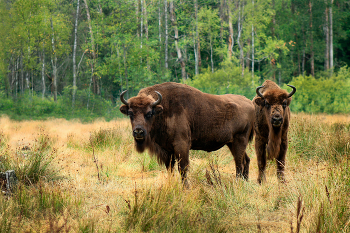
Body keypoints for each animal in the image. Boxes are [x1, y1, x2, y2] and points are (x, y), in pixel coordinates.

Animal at [120, 83, 254, 183]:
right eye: (130, 113)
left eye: (149, 113)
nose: (138, 132)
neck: (162, 110)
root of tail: (250, 103)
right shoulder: (167, 150)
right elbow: (170, 169)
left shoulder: (182, 146)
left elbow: (183, 168)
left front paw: (185, 188)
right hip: (232, 143)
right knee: (245, 160)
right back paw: (245, 182)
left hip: (239, 140)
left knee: (239, 163)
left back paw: (238, 182)